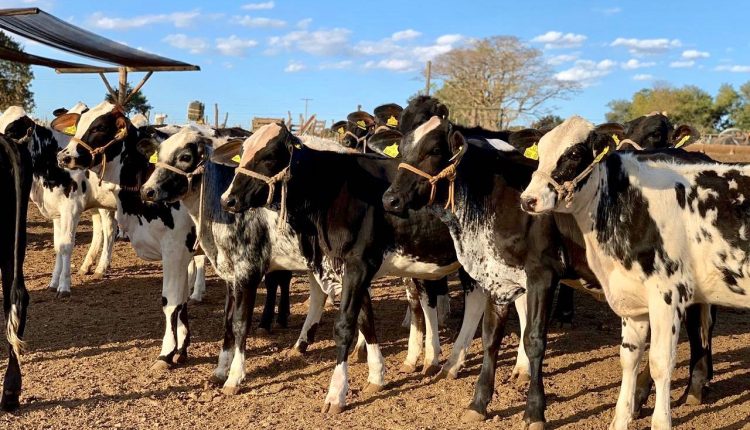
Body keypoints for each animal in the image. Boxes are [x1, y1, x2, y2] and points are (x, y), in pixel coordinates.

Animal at [0, 105, 117, 298]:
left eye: (11, 130)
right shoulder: (57, 212)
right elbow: (57, 246)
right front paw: (54, 283)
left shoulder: (71, 208)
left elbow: (67, 245)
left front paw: (64, 287)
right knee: (101, 228)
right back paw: (88, 266)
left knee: (109, 230)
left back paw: (101, 268)